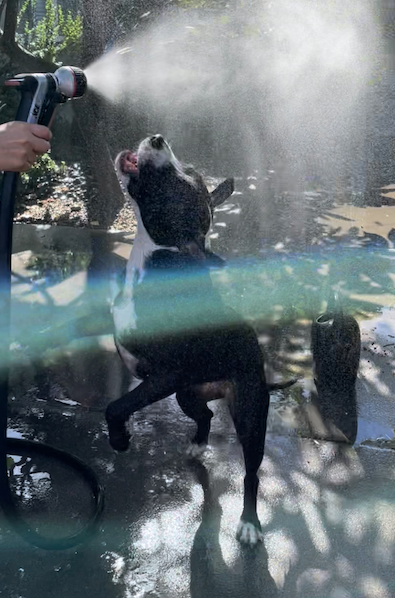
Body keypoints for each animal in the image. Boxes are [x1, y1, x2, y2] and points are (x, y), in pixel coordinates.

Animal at [106, 136, 292, 548]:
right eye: (185, 171)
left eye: (178, 182)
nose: (158, 138)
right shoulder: (167, 383)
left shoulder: (164, 375)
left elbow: (115, 405)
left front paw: (120, 440)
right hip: (187, 396)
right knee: (205, 415)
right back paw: (197, 445)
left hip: (248, 417)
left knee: (251, 473)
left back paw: (249, 523)